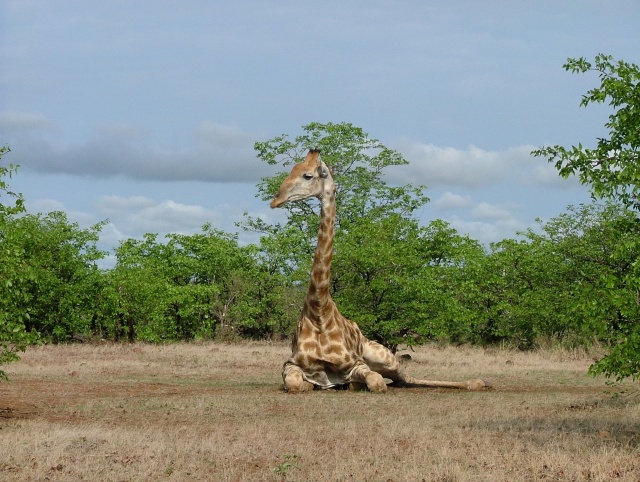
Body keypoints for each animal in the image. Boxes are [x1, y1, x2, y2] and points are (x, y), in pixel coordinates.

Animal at [270, 149, 489, 393]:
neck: (319, 311)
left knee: (404, 377)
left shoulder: (355, 364)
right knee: (399, 381)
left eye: (307, 175)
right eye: (292, 169)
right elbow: (296, 383)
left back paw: (477, 382)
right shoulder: (291, 364)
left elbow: (376, 382)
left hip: (385, 357)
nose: (275, 199)